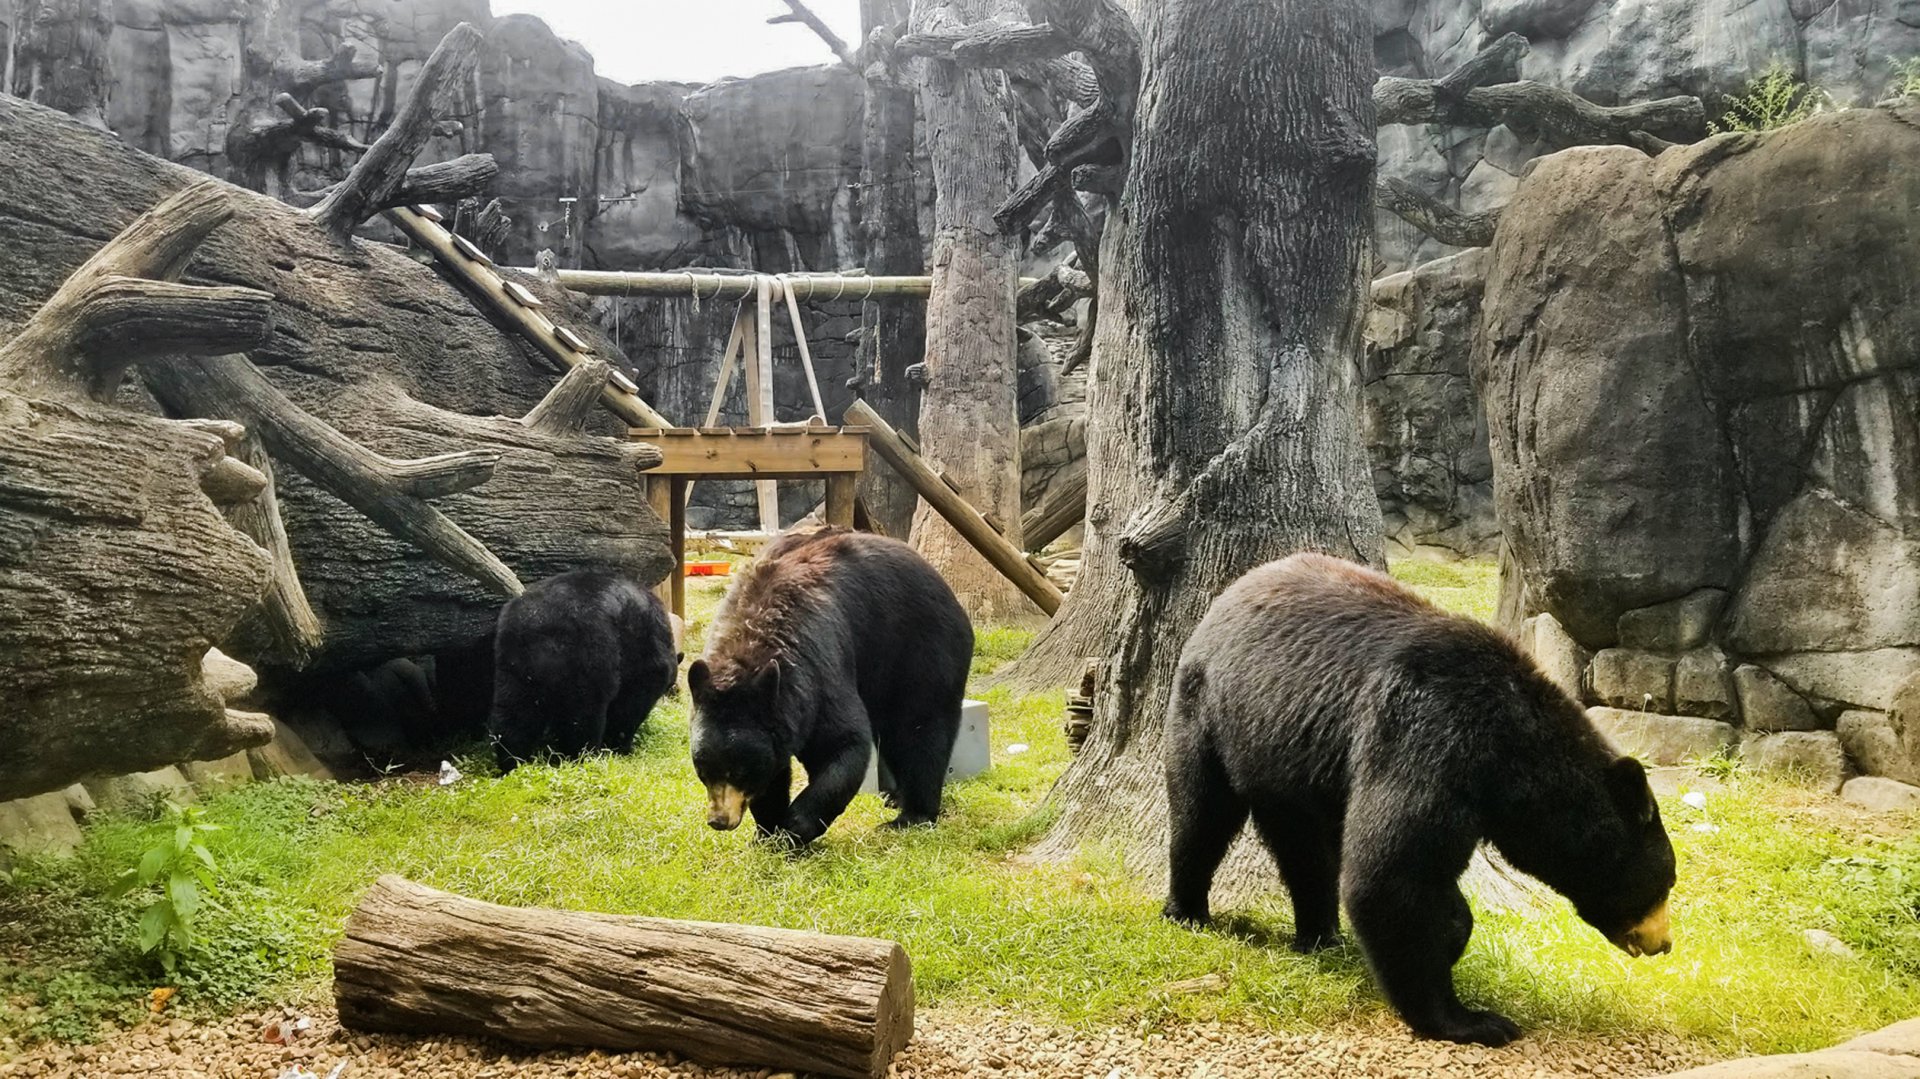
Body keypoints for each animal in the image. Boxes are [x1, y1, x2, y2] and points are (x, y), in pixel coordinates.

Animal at [488, 569, 679, 772]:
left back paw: (512, 759)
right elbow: (631, 703)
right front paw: (620, 744)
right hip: (587, 653)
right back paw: (583, 755)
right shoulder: (645, 653)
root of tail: (542, 627)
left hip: (514, 661)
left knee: (514, 711)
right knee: (583, 712)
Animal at [687, 526, 974, 846]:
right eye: (702, 769)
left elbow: (841, 742)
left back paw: (911, 816)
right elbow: (775, 768)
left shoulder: (818, 671)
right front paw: (767, 832)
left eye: (738, 771)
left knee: (920, 727)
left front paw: (795, 826)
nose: (719, 821)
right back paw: (894, 798)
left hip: (921, 647)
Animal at [1163, 552, 1674, 1046]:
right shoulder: (1430, 735)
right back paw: (1188, 911)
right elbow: (1393, 874)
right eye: (1666, 882)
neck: (1510, 749)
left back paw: (1321, 935)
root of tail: (1226, 597)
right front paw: (1470, 1020)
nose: (1664, 943)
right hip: (1210, 710)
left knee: (1304, 850)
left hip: (1282, 753)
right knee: (1202, 815)